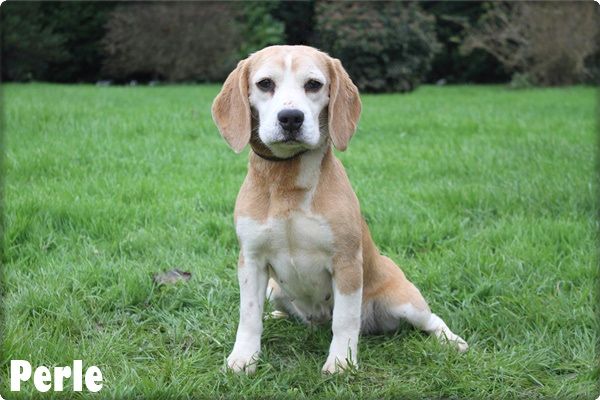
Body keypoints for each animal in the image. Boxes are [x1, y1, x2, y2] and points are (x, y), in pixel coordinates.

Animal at [211, 45, 468, 374]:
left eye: (314, 84)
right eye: (265, 84)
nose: (291, 118)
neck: (287, 182)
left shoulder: (346, 263)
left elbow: (345, 320)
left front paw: (342, 361)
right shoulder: (252, 262)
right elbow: (249, 315)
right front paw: (244, 357)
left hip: (405, 302)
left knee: (431, 320)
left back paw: (452, 340)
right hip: (274, 289)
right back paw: (279, 317)